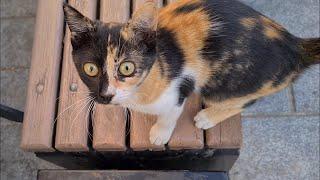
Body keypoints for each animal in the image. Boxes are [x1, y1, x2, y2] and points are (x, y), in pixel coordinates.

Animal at [62, 0, 318, 146]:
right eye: (90, 69)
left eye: (127, 67)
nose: (105, 95)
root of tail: (295, 46)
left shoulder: (181, 86)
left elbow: (171, 113)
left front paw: (160, 133)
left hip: (227, 84)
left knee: (246, 101)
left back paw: (208, 116)